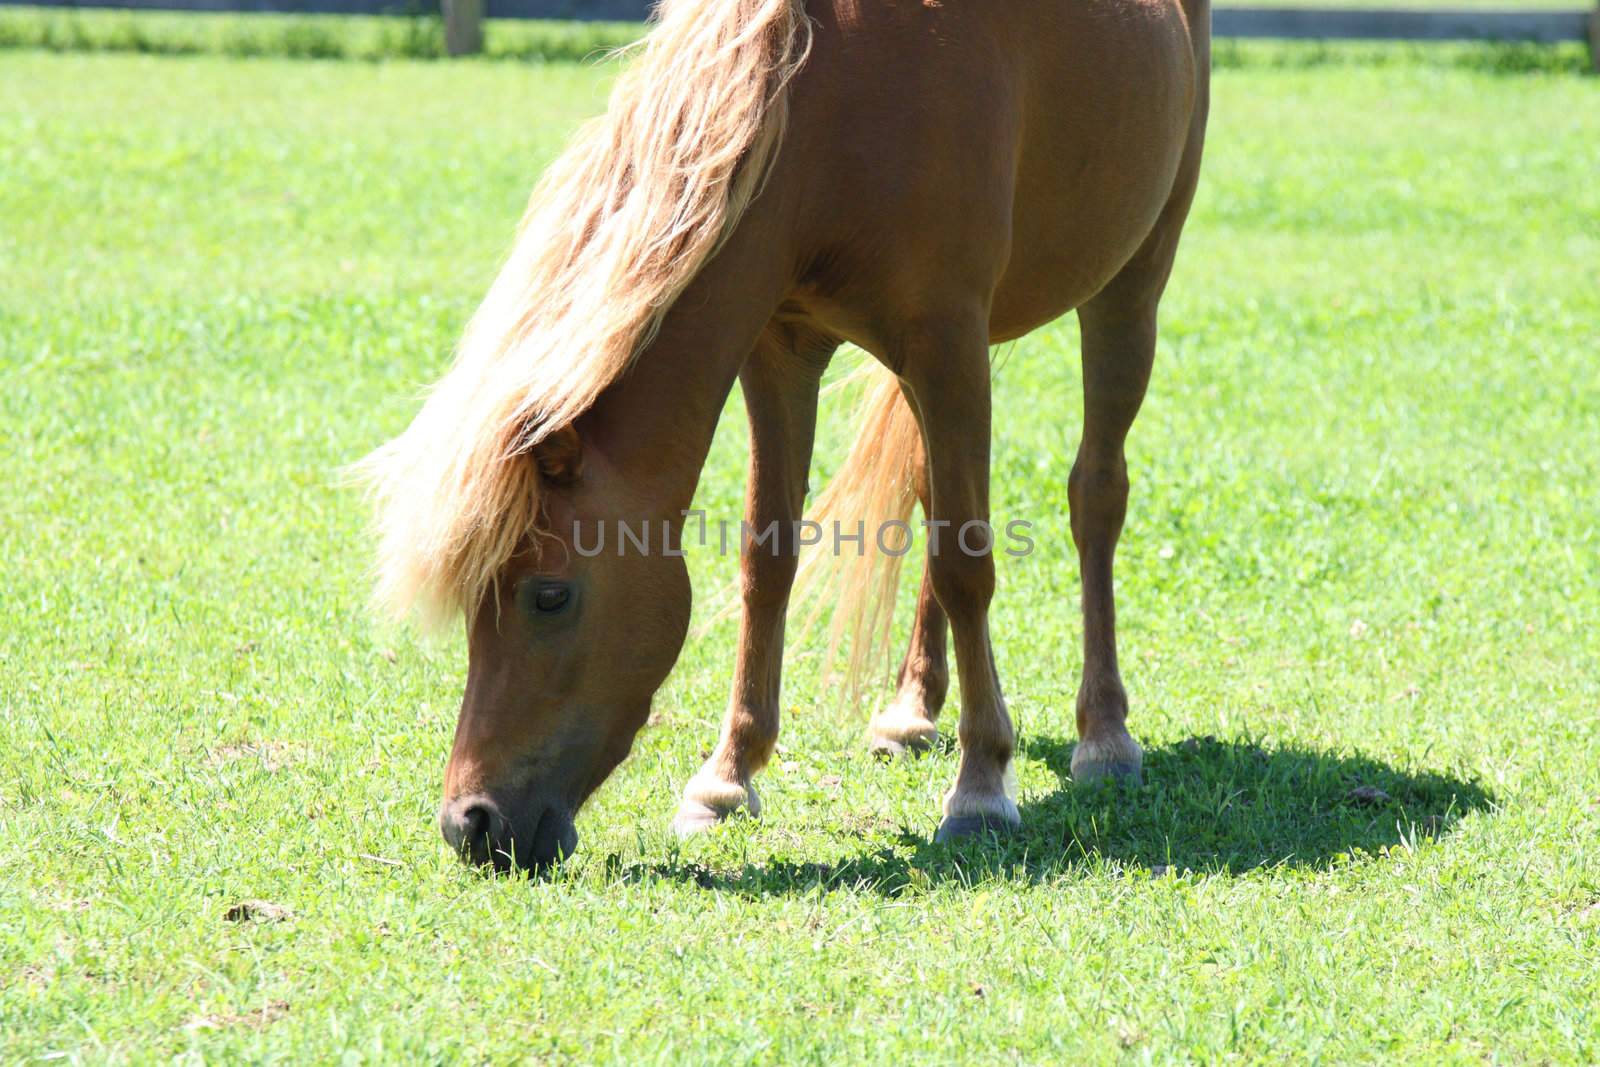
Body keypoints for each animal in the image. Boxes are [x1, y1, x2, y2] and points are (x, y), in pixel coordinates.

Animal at [366, 0, 1209, 870]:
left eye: (550, 594)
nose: (469, 822)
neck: (832, 109)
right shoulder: (783, 349)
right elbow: (769, 557)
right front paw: (726, 777)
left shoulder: (947, 346)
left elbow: (966, 561)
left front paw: (981, 786)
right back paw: (912, 709)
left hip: (1131, 285)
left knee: (1095, 496)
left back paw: (1104, 733)